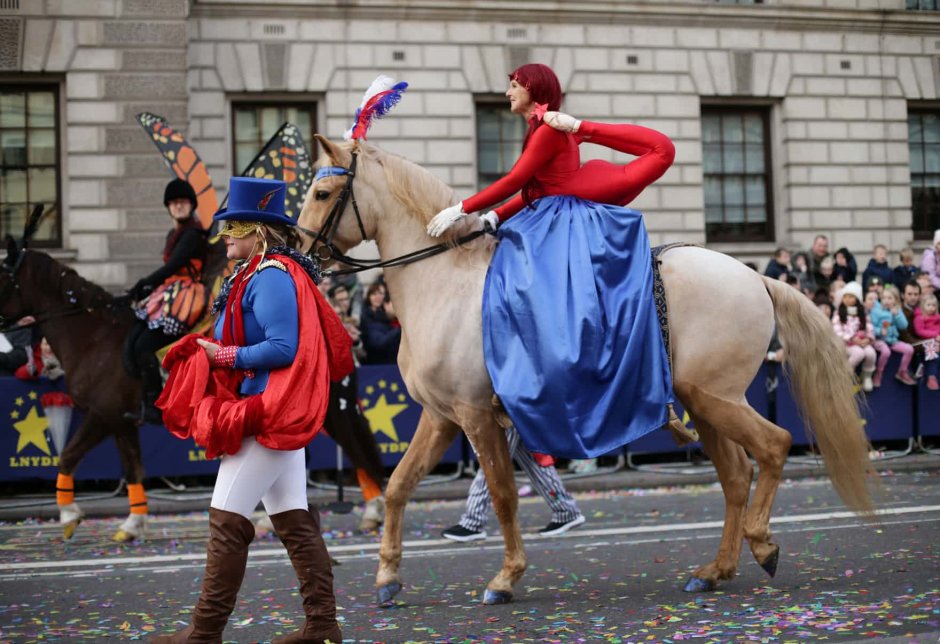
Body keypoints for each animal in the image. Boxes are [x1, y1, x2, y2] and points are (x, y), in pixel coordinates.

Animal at [298, 136, 876, 604]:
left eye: (322, 193)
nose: (294, 250)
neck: (443, 282)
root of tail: (755, 276)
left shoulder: (475, 416)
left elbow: (503, 494)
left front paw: (506, 577)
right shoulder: (440, 417)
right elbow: (398, 485)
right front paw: (388, 578)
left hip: (714, 397)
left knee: (775, 446)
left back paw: (762, 543)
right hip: (706, 400)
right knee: (737, 474)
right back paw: (715, 570)